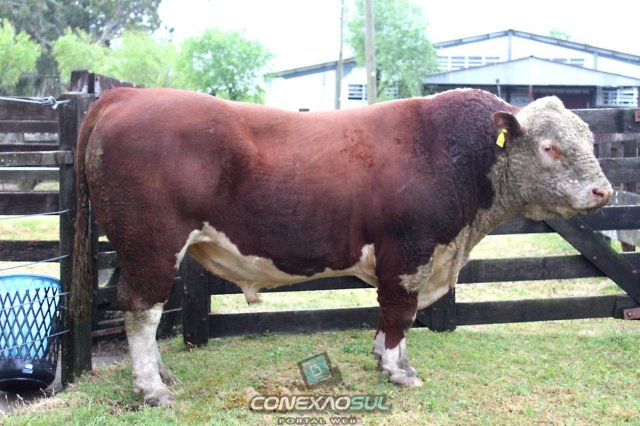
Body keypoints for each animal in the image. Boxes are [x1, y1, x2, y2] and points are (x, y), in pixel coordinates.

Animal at [73, 87, 612, 406]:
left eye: (590, 140)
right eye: (549, 147)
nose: (603, 191)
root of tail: (127, 94)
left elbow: (390, 317)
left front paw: (388, 360)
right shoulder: (409, 252)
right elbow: (399, 312)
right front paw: (398, 370)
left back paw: (163, 377)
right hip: (151, 245)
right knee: (141, 311)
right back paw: (152, 388)